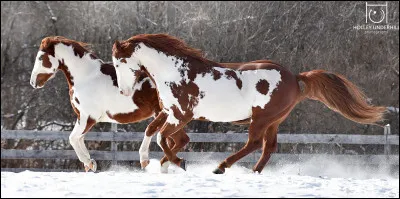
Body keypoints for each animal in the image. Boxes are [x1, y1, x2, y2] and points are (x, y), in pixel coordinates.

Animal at [29, 36, 191, 173]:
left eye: (41, 57)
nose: (33, 82)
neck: (86, 76)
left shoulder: (89, 117)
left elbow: (73, 138)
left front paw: (88, 162)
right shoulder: (82, 117)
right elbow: (79, 138)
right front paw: (91, 164)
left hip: (167, 115)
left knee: (171, 137)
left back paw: (153, 162)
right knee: (180, 140)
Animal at [111, 34, 386, 174]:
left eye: (118, 62)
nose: (124, 90)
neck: (176, 71)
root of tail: (294, 77)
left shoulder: (182, 115)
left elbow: (162, 138)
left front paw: (177, 162)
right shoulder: (170, 112)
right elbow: (153, 132)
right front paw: (148, 161)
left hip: (261, 118)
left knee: (254, 143)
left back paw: (221, 166)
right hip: (274, 121)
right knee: (269, 147)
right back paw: (254, 171)